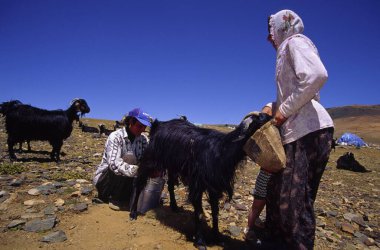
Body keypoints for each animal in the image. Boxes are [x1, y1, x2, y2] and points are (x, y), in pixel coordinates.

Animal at [130, 112, 270, 247]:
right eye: (261, 121)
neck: (222, 150)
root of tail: (158, 125)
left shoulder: (214, 186)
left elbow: (215, 212)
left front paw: (217, 236)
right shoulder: (197, 184)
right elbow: (199, 212)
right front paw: (200, 241)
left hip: (172, 166)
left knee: (169, 185)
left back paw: (174, 206)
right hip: (150, 159)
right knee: (139, 183)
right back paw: (133, 213)